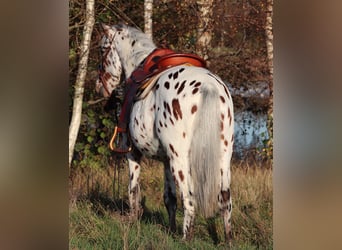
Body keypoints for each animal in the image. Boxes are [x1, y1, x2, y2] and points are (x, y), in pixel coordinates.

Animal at [96, 23, 235, 242]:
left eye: (102, 50)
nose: (99, 87)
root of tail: (208, 86)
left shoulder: (132, 153)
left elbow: (133, 190)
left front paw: (133, 222)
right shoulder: (165, 161)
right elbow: (169, 198)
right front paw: (170, 229)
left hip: (180, 159)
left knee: (189, 199)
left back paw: (186, 239)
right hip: (224, 158)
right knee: (225, 200)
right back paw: (227, 240)